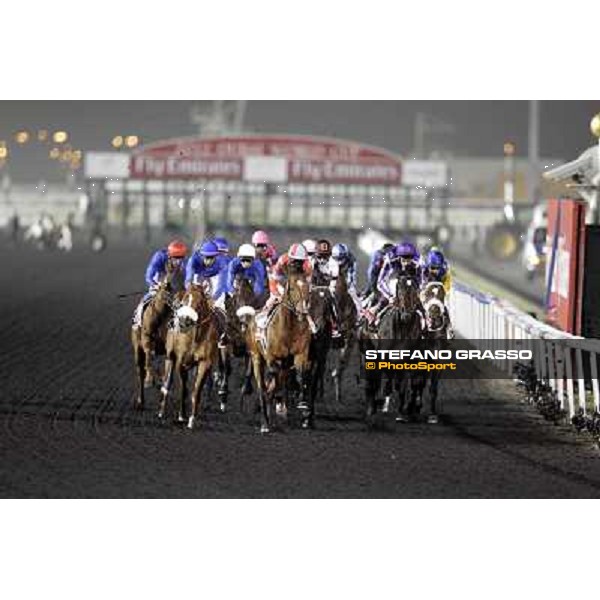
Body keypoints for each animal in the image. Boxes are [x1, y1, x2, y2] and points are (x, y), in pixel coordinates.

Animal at [131, 274, 176, 410]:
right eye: (165, 290)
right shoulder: (147, 340)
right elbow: (149, 356)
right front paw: (150, 380)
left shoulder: (169, 349)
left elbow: (167, 374)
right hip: (137, 349)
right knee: (141, 371)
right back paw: (140, 400)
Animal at [159, 284, 220, 428]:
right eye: (185, 300)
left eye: (200, 302)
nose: (184, 321)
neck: (195, 337)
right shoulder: (180, 362)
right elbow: (183, 389)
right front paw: (181, 415)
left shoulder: (204, 363)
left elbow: (196, 390)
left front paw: (192, 419)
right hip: (170, 358)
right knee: (166, 383)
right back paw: (161, 412)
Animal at [243, 270, 312, 434]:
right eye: (292, 288)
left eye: (307, 287)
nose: (303, 311)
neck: (289, 328)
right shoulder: (272, 358)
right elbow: (272, 379)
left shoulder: (299, 356)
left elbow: (300, 376)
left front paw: (303, 403)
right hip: (256, 357)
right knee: (262, 387)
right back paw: (264, 421)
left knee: (275, 382)